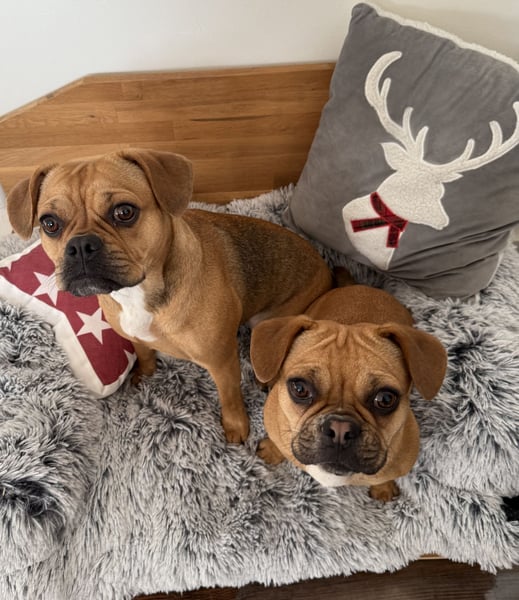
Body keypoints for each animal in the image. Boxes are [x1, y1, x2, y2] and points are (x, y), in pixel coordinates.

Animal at [6, 149, 333, 443]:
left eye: (124, 212)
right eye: (49, 223)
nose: (80, 245)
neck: (139, 294)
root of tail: (324, 265)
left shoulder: (222, 362)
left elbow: (229, 397)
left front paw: (236, 427)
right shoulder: (135, 336)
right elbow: (144, 352)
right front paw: (145, 373)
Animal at [250, 283, 447, 500]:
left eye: (385, 399)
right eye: (300, 389)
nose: (340, 429)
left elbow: (385, 477)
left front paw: (383, 488)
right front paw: (272, 450)